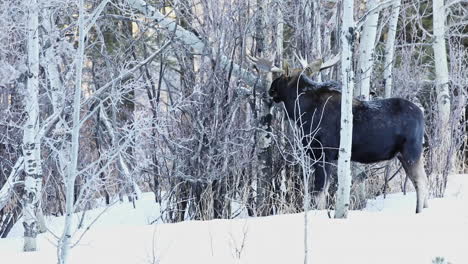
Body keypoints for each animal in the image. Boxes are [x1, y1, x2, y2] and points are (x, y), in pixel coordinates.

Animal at [260, 58, 428, 213]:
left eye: (281, 77)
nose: (270, 89)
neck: (301, 112)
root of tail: (422, 113)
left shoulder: (324, 153)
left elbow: (319, 193)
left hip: (411, 151)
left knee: (421, 181)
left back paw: (418, 211)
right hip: (406, 154)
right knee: (422, 179)